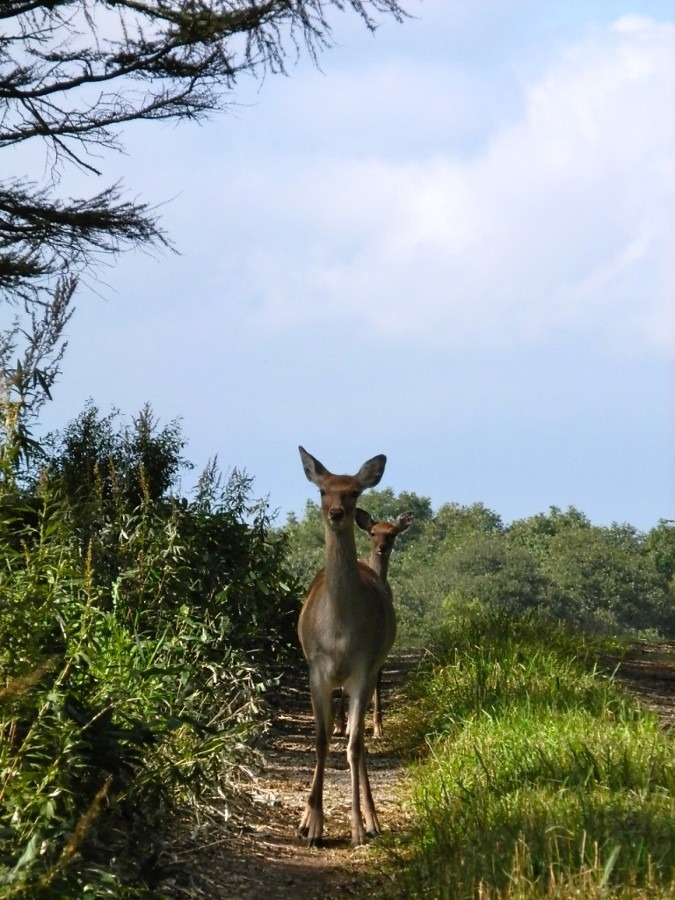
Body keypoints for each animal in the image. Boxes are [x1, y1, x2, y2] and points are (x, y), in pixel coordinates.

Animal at [336, 510, 414, 740]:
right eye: (373, 532)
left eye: (392, 533)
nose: (382, 548)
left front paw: (378, 727)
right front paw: (344, 725)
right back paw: (341, 724)